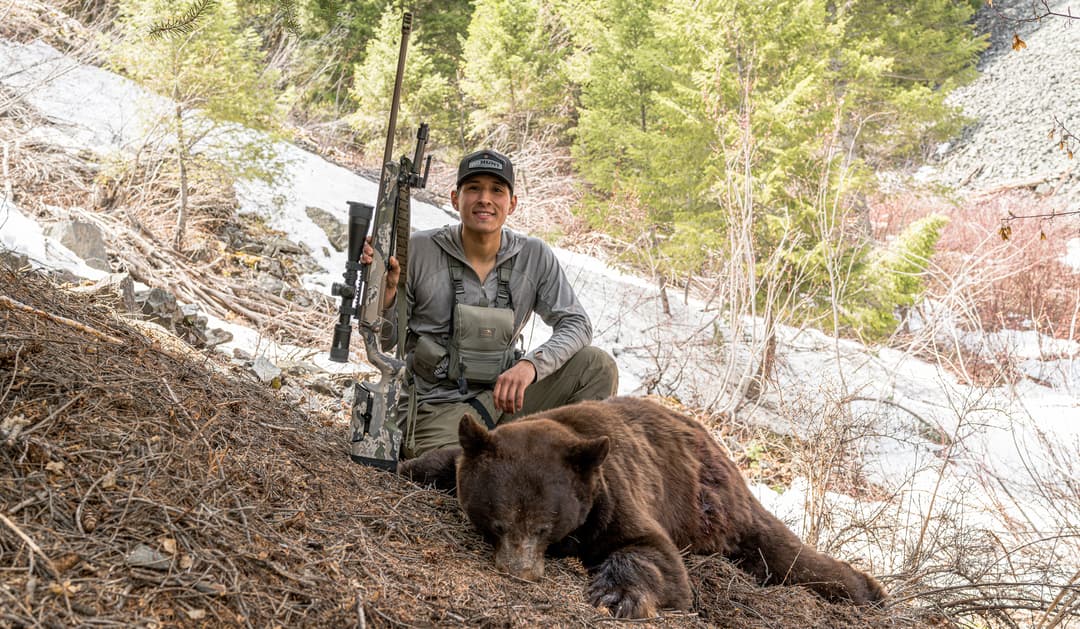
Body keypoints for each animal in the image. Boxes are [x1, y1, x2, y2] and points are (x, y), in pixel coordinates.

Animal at [398, 396, 886, 618]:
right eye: (497, 522)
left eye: (544, 526)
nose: (521, 571)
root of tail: (720, 448)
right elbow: (439, 461)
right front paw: (408, 465)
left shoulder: (612, 494)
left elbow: (653, 553)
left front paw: (617, 595)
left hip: (712, 506)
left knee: (785, 554)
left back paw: (869, 590)